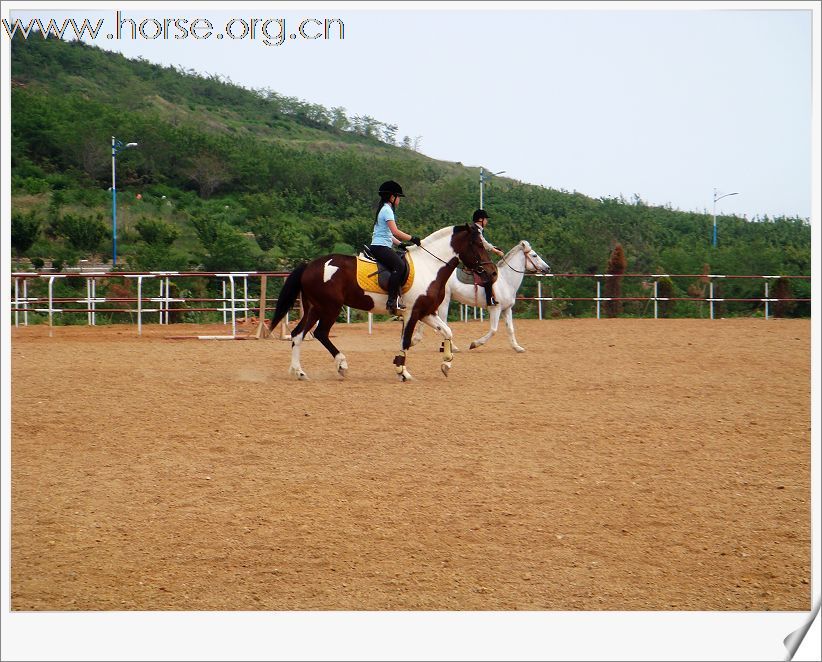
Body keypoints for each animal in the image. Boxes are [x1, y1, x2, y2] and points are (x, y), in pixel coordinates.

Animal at [268, 226, 496, 382]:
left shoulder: (427, 313)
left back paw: (299, 372)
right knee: (321, 333)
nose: (492, 272)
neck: (430, 267)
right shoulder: (412, 313)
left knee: (298, 334)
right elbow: (405, 341)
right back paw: (342, 364)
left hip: (314, 308)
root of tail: (309, 265)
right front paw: (402, 371)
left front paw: (446, 364)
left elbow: (447, 331)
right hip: (329, 308)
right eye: (478, 245)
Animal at [412, 241, 552, 356]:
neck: (506, 280)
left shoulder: (507, 309)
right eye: (534, 255)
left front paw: (517, 348)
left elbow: (510, 329)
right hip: (444, 302)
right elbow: (493, 330)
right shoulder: (495, 309)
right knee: (443, 323)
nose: (547, 268)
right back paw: (452, 347)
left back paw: (416, 340)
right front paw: (475, 344)